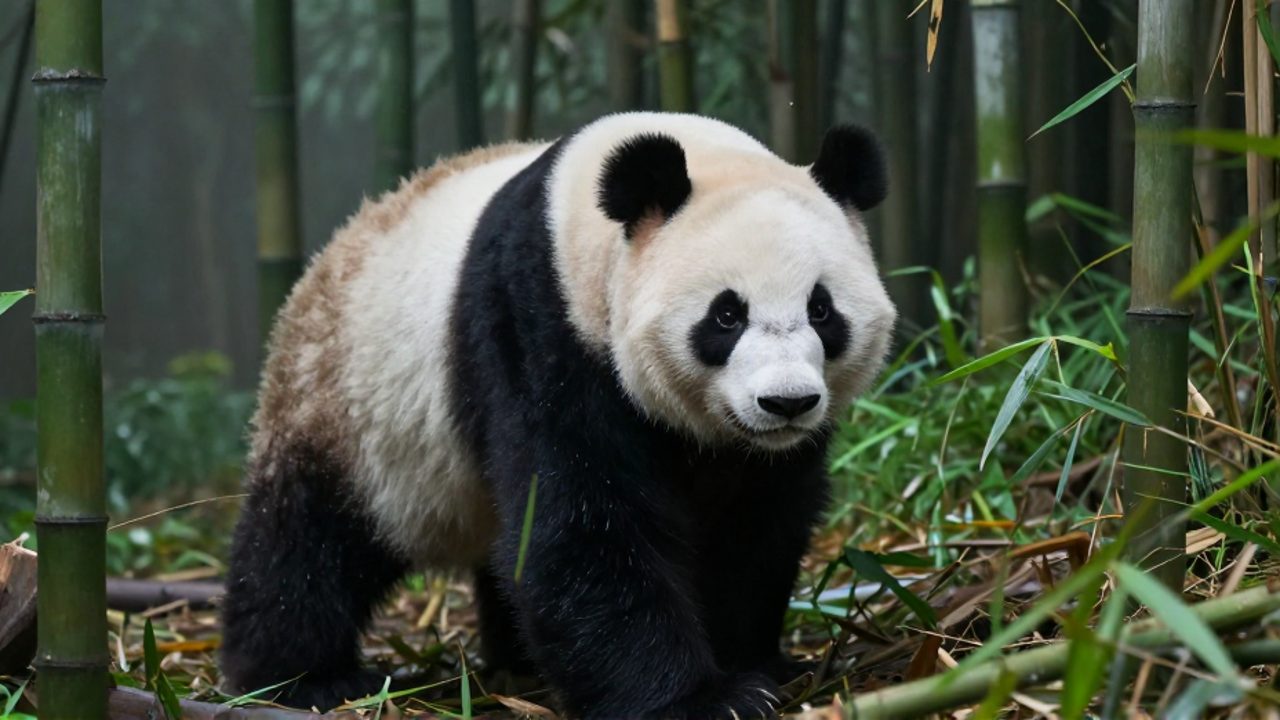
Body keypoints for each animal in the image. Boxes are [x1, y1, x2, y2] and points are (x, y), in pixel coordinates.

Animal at [219, 112, 895, 718]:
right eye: (727, 315)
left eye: (822, 310)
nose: (786, 402)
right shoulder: (535, 328)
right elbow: (580, 523)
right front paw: (702, 700)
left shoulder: (760, 454)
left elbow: (755, 525)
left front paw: (754, 663)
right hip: (347, 406)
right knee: (308, 540)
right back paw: (298, 678)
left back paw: (513, 660)